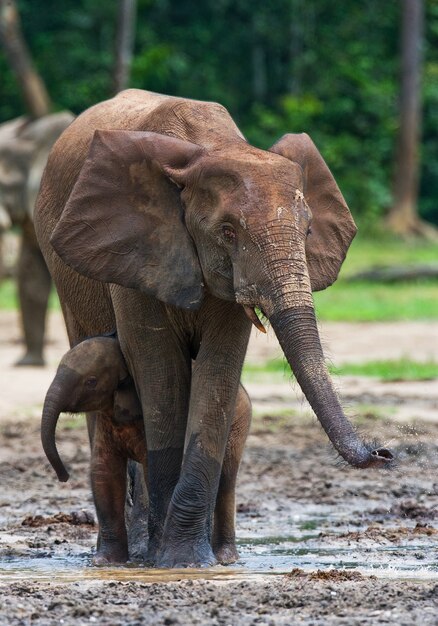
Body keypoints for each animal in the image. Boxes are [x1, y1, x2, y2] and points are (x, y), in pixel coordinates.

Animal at [42, 334, 253, 564]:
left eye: (91, 381)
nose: (64, 477)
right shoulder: (107, 419)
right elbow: (104, 472)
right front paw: (104, 562)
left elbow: (149, 470)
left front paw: (152, 557)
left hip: (237, 424)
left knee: (226, 480)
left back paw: (225, 558)